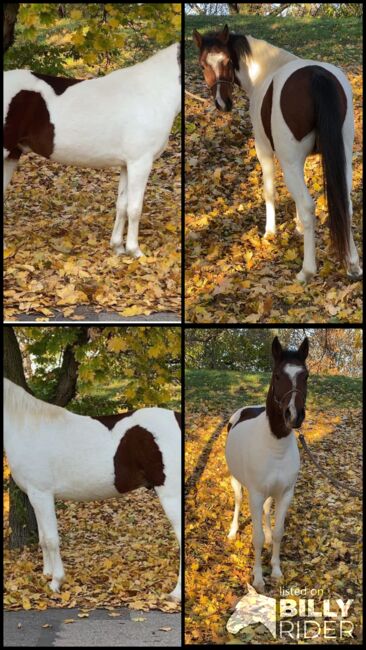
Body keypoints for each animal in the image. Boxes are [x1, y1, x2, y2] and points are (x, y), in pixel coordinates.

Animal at [2, 41, 180, 256]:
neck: (153, 90)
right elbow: (135, 208)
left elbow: (122, 205)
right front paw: (135, 251)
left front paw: (118, 247)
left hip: (11, 155)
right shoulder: (141, 162)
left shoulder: (127, 164)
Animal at [2, 378, 180, 600]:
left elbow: (51, 539)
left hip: (171, 495)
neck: (27, 428)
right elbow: (43, 539)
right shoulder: (35, 496)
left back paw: (176, 594)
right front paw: (47, 574)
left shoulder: (42, 494)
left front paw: (56, 582)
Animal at [193, 25, 362, 280]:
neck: (266, 70)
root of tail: (316, 76)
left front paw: (270, 232)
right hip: (341, 158)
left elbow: (269, 191)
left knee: (308, 206)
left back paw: (307, 271)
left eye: (227, 60)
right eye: (204, 64)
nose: (223, 103)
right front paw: (298, 226)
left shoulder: (264, 150)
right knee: (345, 204)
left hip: (288, 162)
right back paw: (353, 264)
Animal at [226, 336, 308, 588]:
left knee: (266, 511)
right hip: (236, 481)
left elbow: (279, 532)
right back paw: (232, 531)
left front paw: (277, 570)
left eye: (305, 375)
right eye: (277, 375)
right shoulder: (255, 493)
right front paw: (258, 578)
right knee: (238, 501)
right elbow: (256, 537)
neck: (275, 447)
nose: (294, 415)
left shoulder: (286, 493)